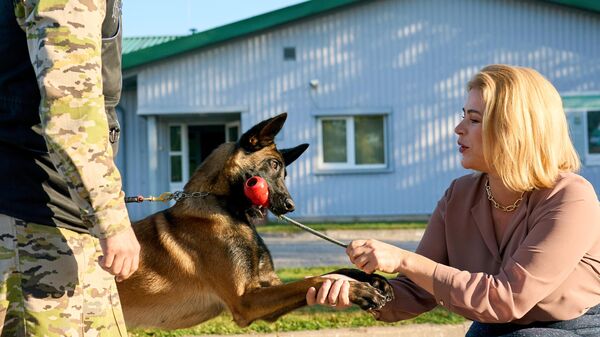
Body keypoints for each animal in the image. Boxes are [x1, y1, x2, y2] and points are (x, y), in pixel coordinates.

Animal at [116, 113, 394, 328]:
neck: (226, 209)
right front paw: (360, 290)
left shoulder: (268, 284)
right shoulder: (246, 301)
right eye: (273, 164)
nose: (290, 206)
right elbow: (316, 279)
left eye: (284, 171)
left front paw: (371, 279)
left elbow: (331, 274)